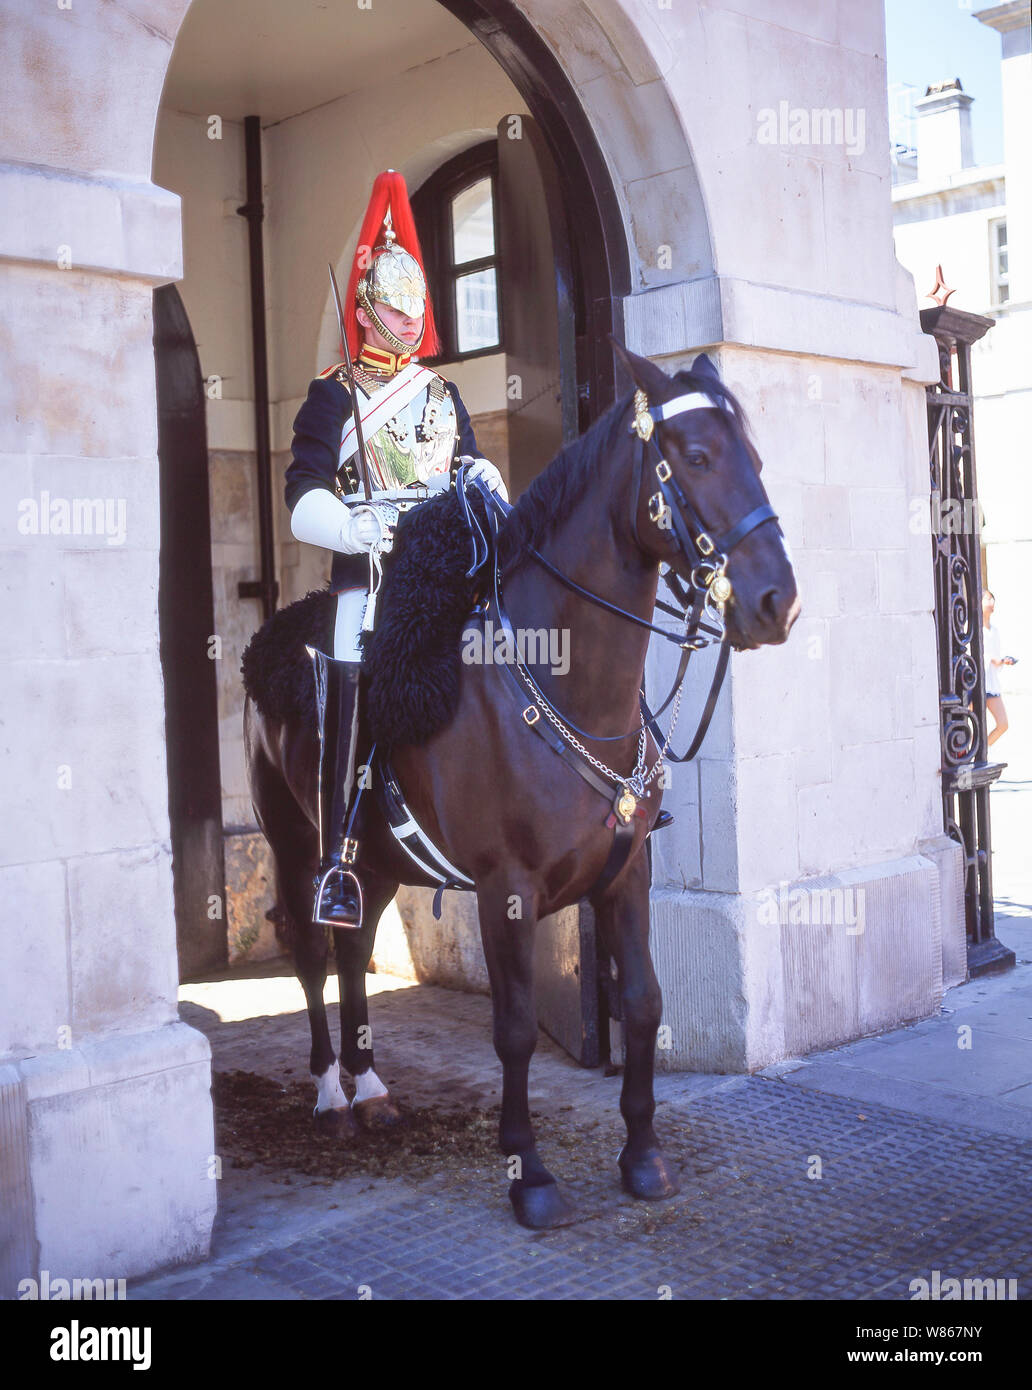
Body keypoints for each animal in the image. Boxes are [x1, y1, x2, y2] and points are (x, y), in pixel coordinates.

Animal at [242, 344, 801, 1228]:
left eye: (754, 456)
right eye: (697, 457)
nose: (778, 602)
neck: (566, 685)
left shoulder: (626, 875)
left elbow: (645, 1001)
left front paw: (643, 1157)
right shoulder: (506, 888)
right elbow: (512, 1028)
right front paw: (529, 1173)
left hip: (375, 861)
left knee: (354, 950)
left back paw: (372, 1089)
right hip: (301, 847)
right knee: (310, 953)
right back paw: (332, 1093)